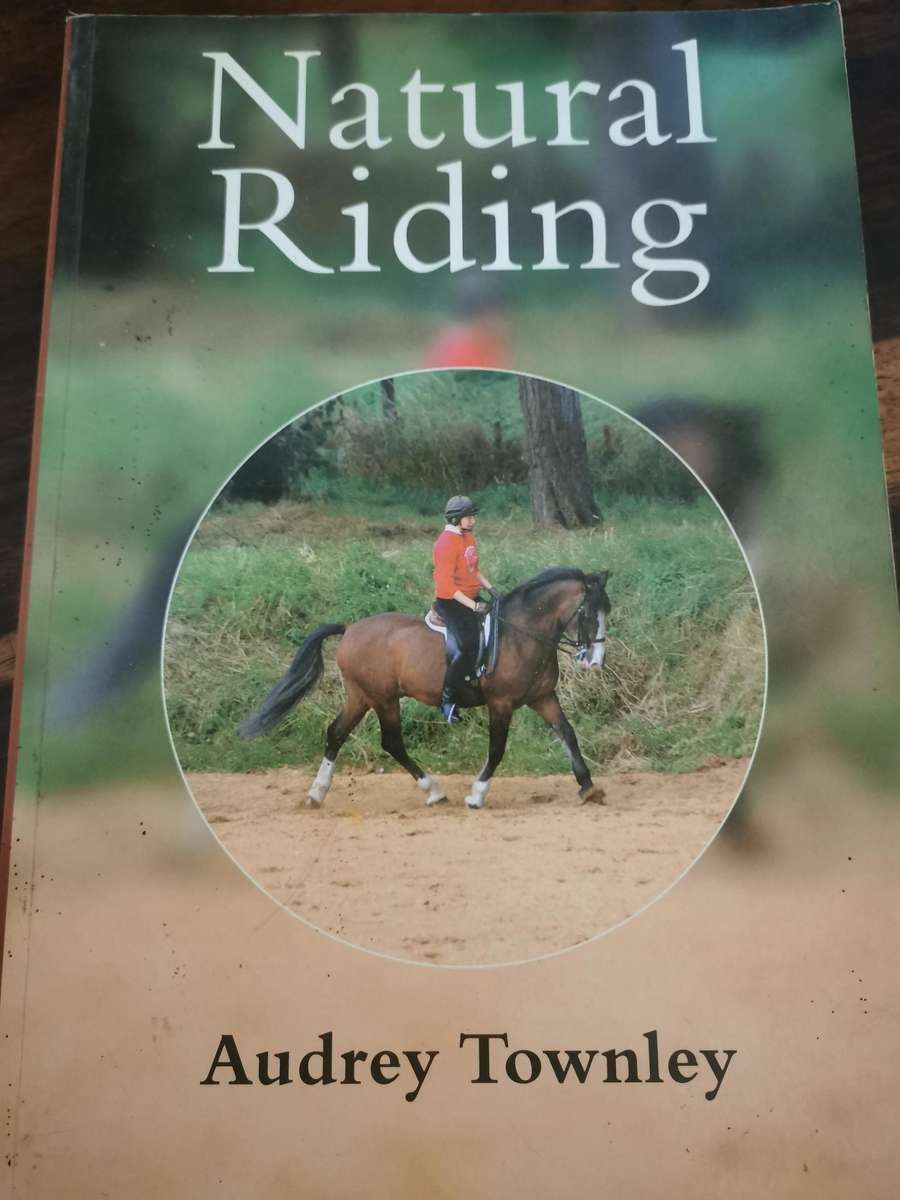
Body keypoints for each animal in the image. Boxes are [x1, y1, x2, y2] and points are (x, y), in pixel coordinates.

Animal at [239, 567, 611, 810]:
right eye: (588, 614)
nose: (595, 661)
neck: (521, 634)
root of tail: (350, 630)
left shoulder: (542, 697)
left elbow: (568, 734)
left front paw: (589, 788)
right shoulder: (501, 703)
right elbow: (496, 750)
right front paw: (476, 795)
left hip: (361, 696)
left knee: (337, 733)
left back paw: (317, 793)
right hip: (383, 698)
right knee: (391, 742)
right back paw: (433, 791)